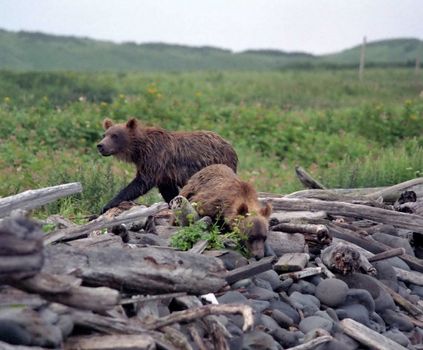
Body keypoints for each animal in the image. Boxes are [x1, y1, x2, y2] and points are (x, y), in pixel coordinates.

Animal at [97, 118, 240, 213]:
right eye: (104, 134)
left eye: (114, 135)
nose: (100, 145)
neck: (139, 150)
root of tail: (230, 145)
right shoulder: (164, 172)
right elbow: (167, 189)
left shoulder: (155, 159)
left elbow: (141, 182)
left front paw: (108, 204)